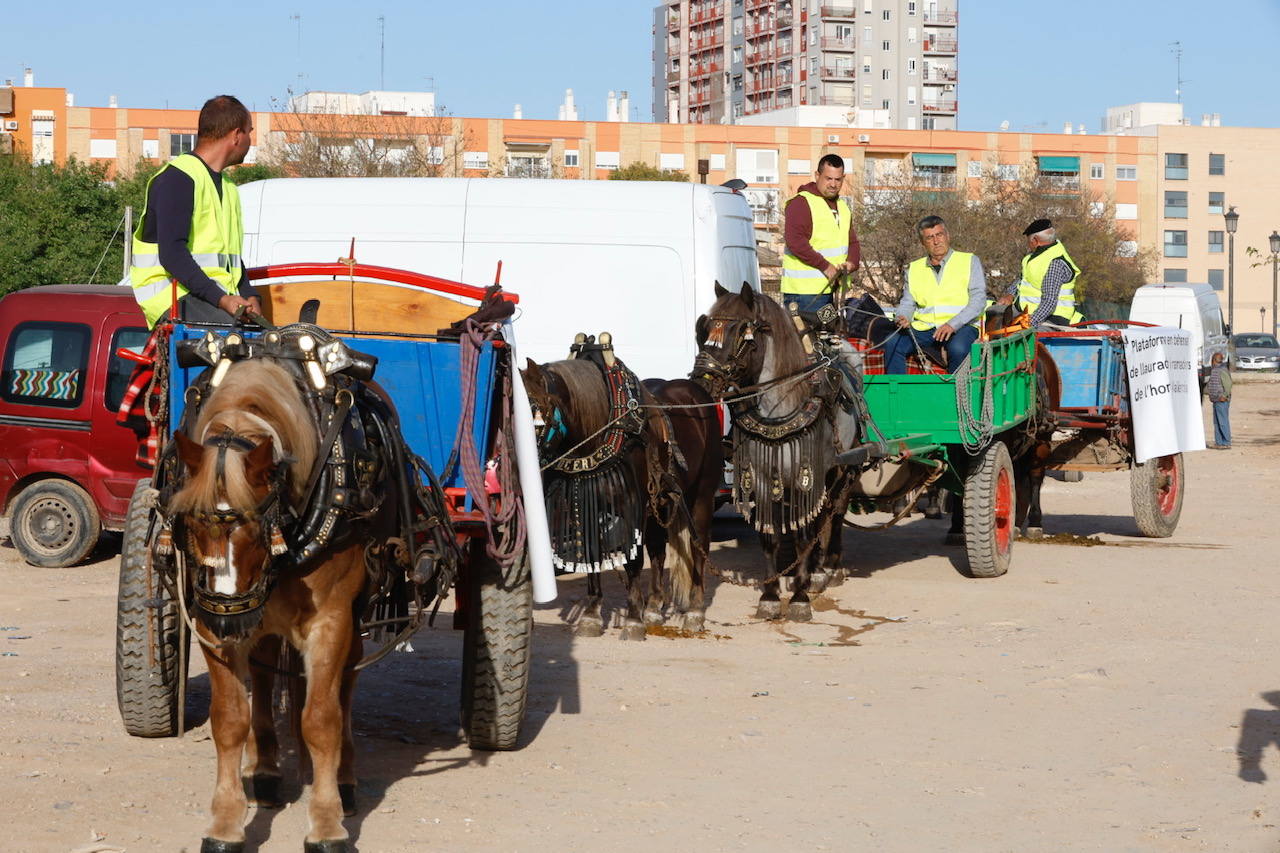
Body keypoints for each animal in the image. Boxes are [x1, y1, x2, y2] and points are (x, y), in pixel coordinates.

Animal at [170, 356, 389, 850]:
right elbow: (229, 719)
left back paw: (344, 782)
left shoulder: (330, 620)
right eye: (191, 522)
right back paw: (265, 771)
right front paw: (225, 822)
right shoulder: (214, 625)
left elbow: (321, 720)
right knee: (266, 673)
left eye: (255, 526)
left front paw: (326, 823)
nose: (229, 614)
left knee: (345, 687)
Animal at [691, 281, 860, 622]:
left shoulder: (804, 476)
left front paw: (799, 597)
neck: (778, 408)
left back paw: (828, 568)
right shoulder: (761, 477)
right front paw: (770, 595)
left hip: (843, 467)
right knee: (822, 515)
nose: (701, 380)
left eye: (740, 332)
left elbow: (802, 534)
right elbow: (769, 535)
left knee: (834, 512)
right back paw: (815, 570)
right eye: (706, 328)